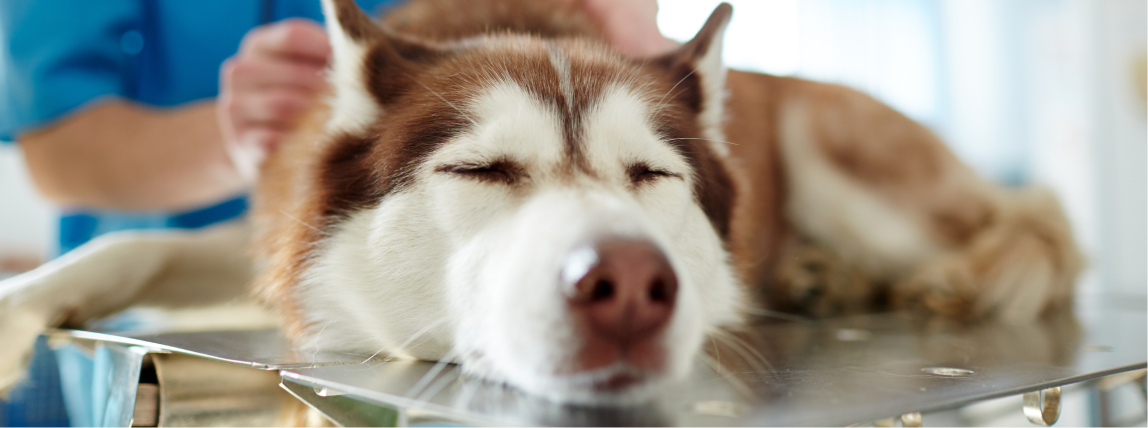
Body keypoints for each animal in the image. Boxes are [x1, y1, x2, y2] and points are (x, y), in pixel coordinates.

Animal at [0, 0, 1079, 403]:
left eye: (651, 176)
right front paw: (20, 306)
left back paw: (942, 275)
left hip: (837, 151)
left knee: (1036, 230)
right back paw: (824, 277)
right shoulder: (275, 234)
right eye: (482, 171)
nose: (630, 286)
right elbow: (131, 244)